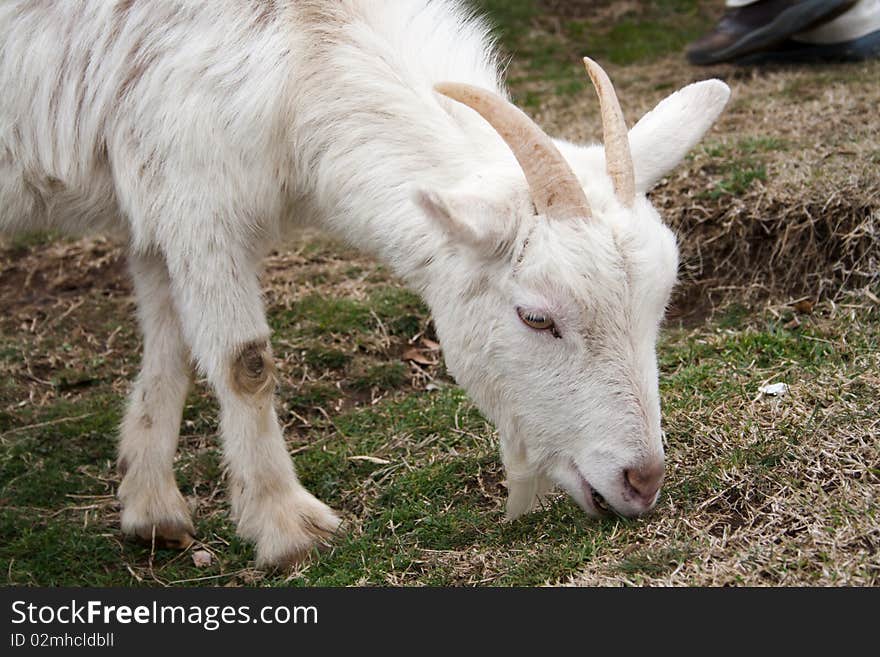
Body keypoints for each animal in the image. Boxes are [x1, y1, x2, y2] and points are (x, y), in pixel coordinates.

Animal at [0, 0, 728, 568]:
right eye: (536, 317)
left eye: (657, 308)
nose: (642, 480)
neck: (305, 45)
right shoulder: (194, 190)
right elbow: (245, 363)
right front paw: (285, 526)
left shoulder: (157, 201)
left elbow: (171, 344)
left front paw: (151, 507)